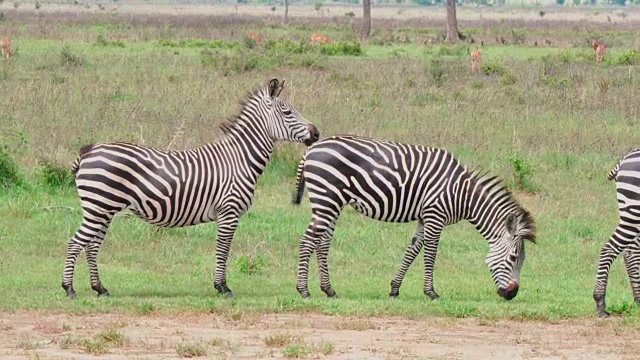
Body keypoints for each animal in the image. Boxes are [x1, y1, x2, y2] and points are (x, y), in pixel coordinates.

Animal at [62, 78, 320, 298]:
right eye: (287, 112)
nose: (317, 133)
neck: (239, 158)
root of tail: (89, 150)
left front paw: (220, 285)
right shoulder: (229, 212)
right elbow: (223, 249)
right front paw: (222, 287)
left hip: (103, 209)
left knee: (91, 245)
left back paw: (100, 288)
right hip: (99, 206)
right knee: (76, 242)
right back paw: (69, 288)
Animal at [290, 135, 536, 300]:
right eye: (514, 257)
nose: (512, 294)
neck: (461, 195)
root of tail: (311, 149)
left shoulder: (424, 217)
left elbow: (413, 250)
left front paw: (394, 288)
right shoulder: (435, 215)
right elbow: (430, 253)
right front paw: (431, 292)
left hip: (331, 202)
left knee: (322, 243)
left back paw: (329, 289)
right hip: (327, 198)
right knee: (307, 241)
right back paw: (304, 290)